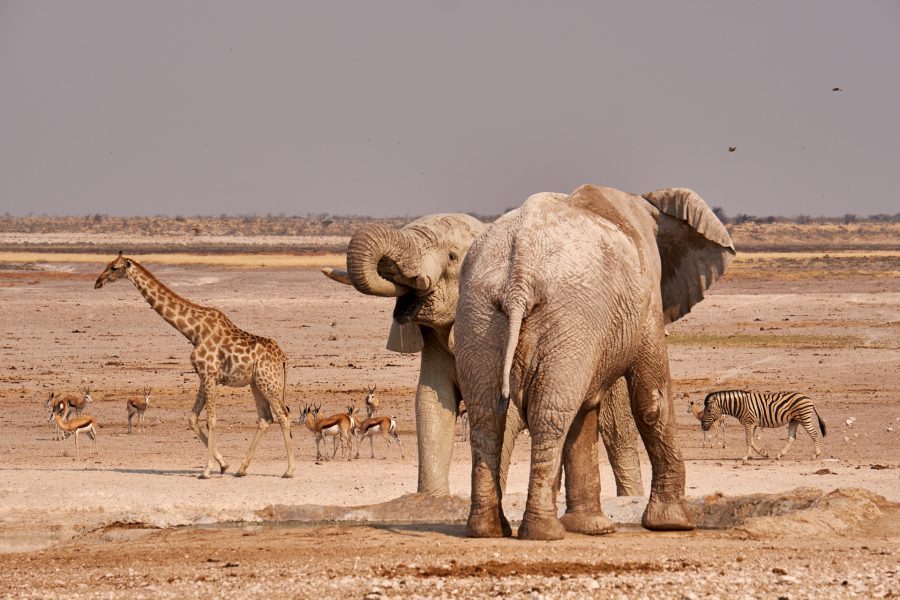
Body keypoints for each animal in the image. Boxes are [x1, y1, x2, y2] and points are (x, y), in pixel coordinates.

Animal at [96, 252, 298, 478]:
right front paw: (223, 464)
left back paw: (289, 470)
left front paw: (207, 470)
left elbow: (211, 420)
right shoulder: (204, 376)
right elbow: (192, 418)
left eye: (114, 268)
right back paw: (241, 469)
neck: (194, 332)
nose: (98, 282)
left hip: (268, 382)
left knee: (283, 416)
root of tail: (283, 358)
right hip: (256, 383)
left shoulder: (209, 374)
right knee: (265, 418)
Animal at [324, 213, 648, 500]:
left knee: (616, 431)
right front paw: (431, 500)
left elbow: (504, 411)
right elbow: (430, 405)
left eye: (452, 256)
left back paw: (628, 498)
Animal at [460, 184, 736, 540]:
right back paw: (543, 532)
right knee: (549, 414)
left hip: (479, 313)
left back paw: (488, 530)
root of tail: (520, 273)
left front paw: (591, 527)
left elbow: (586, 411)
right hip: (566, 317)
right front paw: (675, 524)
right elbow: (652, 401)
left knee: (487, 414)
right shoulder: (646, 296)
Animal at [700, 392, 828, 462]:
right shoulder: (753, 424)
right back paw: (779, 455)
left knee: (814, 434)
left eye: (709, 410)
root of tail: (809, 398)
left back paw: (815, 455)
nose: (702, 426)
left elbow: (748, 440)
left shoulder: (749, 422)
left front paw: (746, 457)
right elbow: (751, 440)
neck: (740, 405)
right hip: (794, 420)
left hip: (804, 417)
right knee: (792, 438)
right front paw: (762, 454)